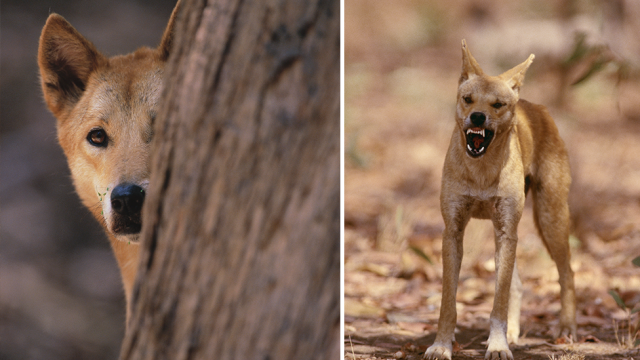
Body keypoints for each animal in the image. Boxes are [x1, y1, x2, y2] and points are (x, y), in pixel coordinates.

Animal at [424, 39, 576, 360]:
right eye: (468, 99)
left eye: (497, 105)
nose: (478, 117)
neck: (482, 172)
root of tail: (535, 105)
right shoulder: (453, 231)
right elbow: (448, 302)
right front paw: (441, 345)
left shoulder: (507, 231)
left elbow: (498, 304)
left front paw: (497, 346)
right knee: (516, 284)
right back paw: (515, 333)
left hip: (549, 218)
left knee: (566, 273)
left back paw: (566, 328)